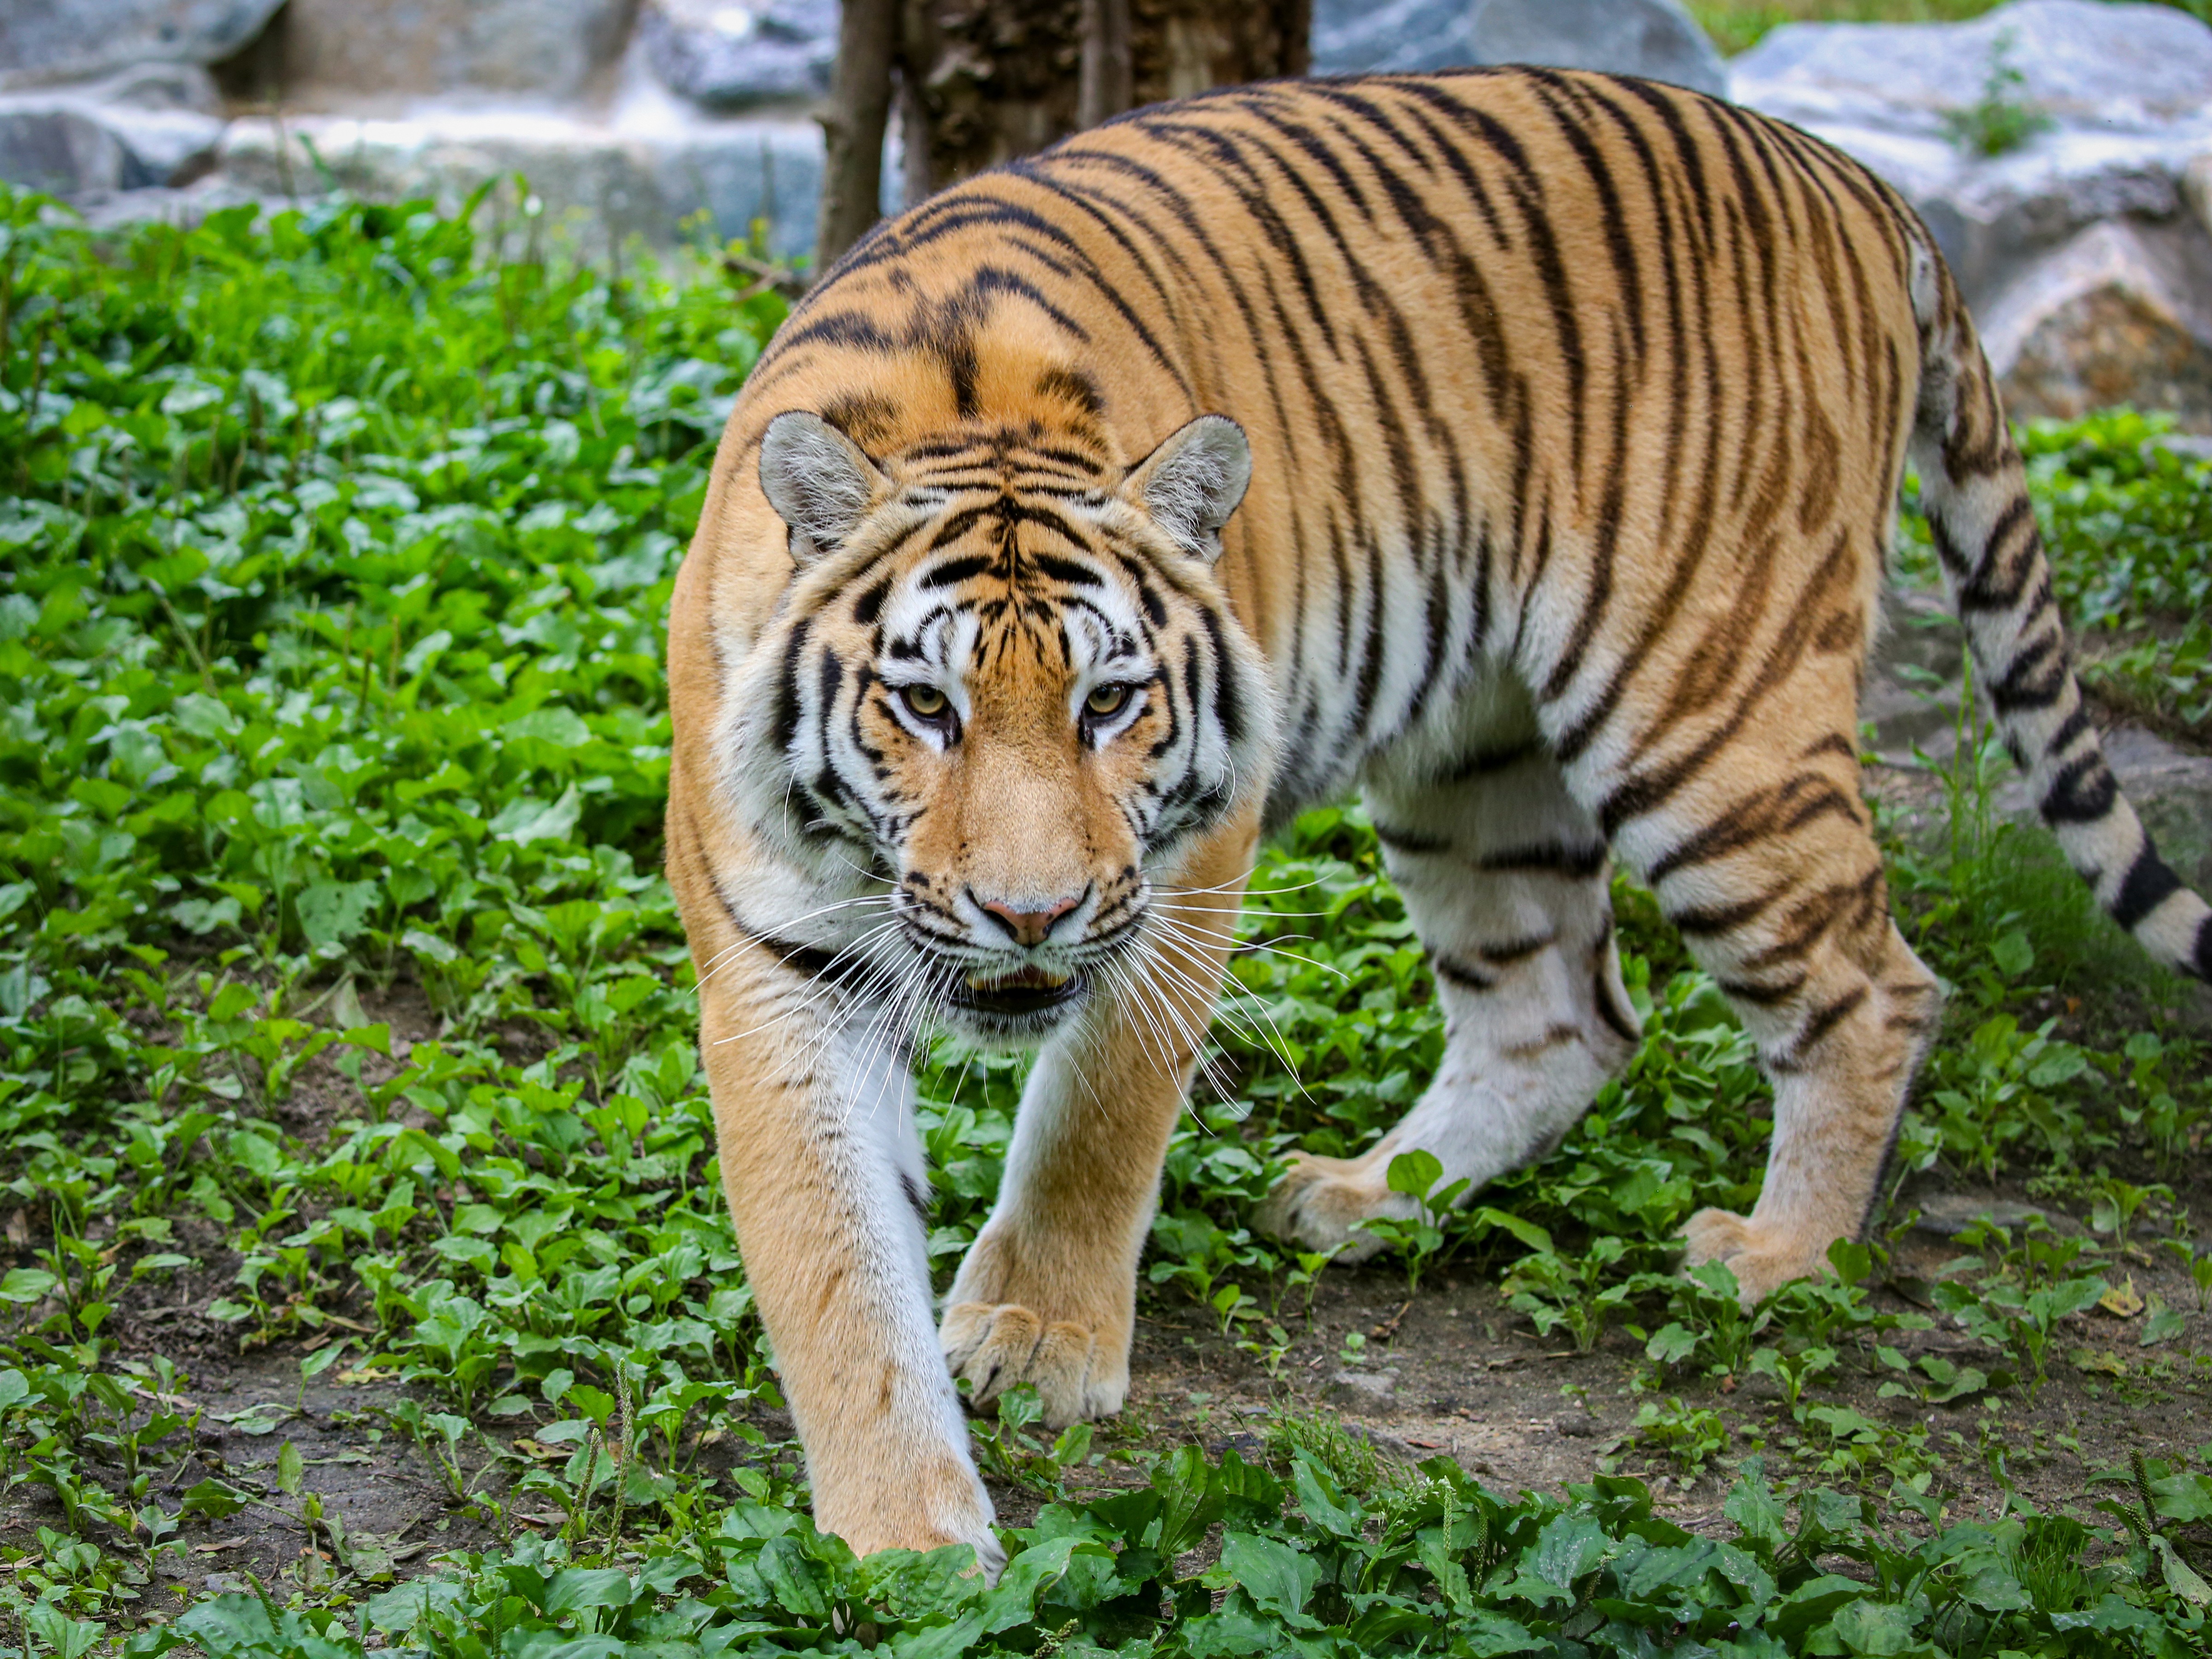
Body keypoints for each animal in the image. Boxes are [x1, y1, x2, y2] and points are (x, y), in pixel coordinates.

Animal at [663, 66, 2212, 1569]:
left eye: (1111, 703)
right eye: (926, 706)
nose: (1029, 914)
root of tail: (1856, 179)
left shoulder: (1188, 865)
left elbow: (1097, 1116)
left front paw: (1038, 1342)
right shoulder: (780, 963)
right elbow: (835, 1257)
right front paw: (908, 1537)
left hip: (1716, 713)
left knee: (1874, 986)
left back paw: (1777, 1258)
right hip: (1475, 760)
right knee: (1564, 1014)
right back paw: (1363, 1199)